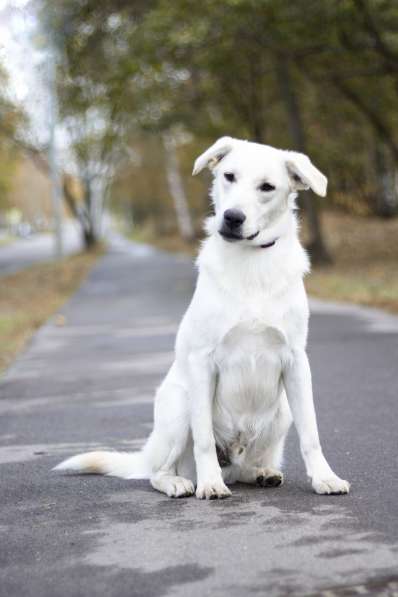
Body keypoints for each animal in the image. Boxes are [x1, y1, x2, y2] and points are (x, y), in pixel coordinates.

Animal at [56, 136, 352, 498]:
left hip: (282, 411)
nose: (232, 217)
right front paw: (210, 483)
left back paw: (260, 473)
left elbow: (311, 433)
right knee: (160, 471)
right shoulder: (202, 361)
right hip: (180, 404)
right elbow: (204, 440)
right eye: (229, 176)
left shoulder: (296, 361)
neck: (251, 262)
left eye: (267, 187)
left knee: (241, 469)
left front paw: (325, 477)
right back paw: (181, 482)